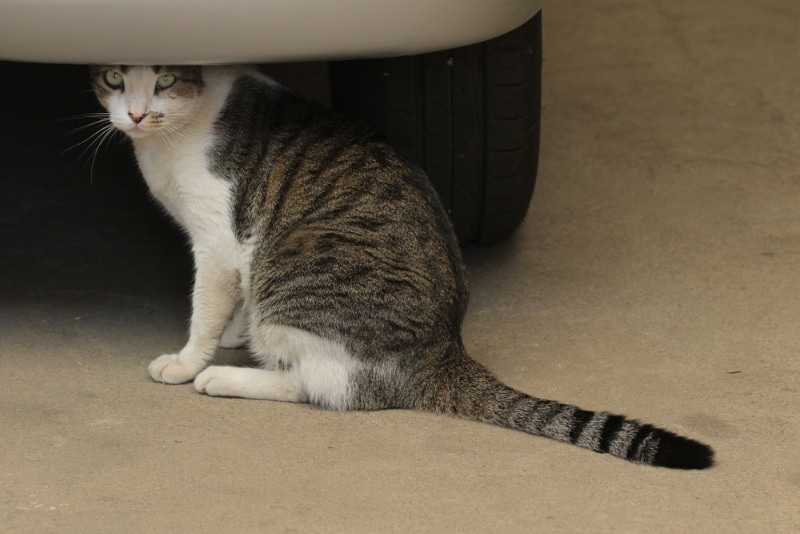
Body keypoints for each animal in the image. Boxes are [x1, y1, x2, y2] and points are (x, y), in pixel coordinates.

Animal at [90, 65, 716, 472]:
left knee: (329, 387)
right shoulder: (237, 249)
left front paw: (189, 359)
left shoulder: (218, 241)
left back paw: (222, 378)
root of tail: (445, 349)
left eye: (165, 79)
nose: (137, 113)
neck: (173, 133)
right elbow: (235, 299)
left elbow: (206, 307)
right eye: (115, 78)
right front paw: (234, 332)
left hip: (295, 267)